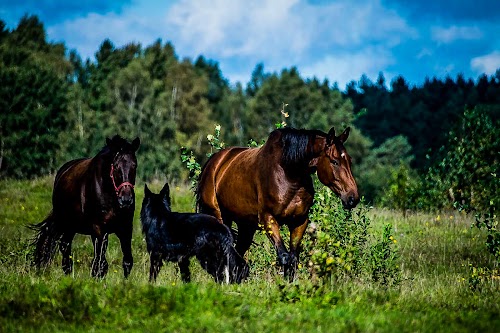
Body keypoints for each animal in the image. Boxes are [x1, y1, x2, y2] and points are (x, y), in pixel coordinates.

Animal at [30, 135, 140, 278]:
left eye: (134, 165)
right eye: (116, 166)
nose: (126, 199)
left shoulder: (125, 228)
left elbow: (127, 261)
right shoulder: (99, 230)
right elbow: (100, 264)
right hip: (66, 224)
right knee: (65, 247)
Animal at [196, 126, 360, 278]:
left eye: (350, 160)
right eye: (334, 161)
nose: (353, 198)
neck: (289, 173)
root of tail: (215, 161)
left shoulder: (299, 221)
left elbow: (293, 259)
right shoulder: (268, 219)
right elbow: (284, 257)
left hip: (246, 226)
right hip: (220, 217)